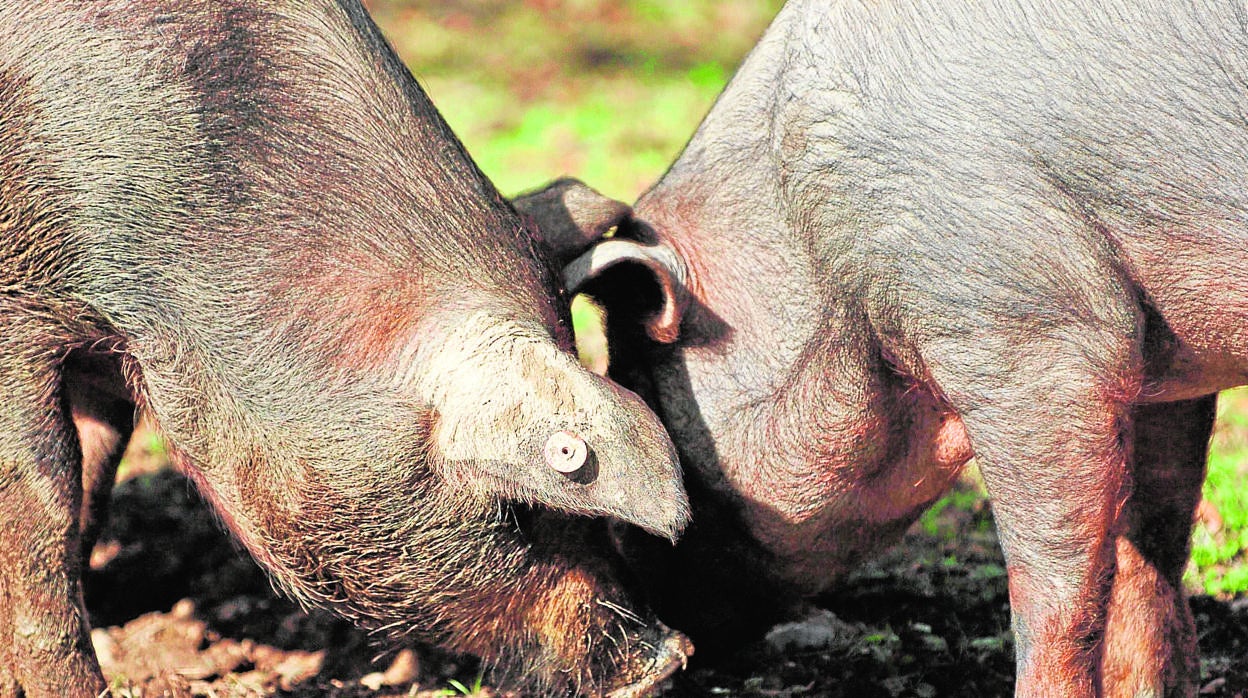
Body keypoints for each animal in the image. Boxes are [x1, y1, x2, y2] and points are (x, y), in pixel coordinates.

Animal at [546, 2, 1248, 694]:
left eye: (641, 387)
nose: (676, 651)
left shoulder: (1028, 334)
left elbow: (1054, 589)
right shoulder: (1163, 365)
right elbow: (1153, 545)